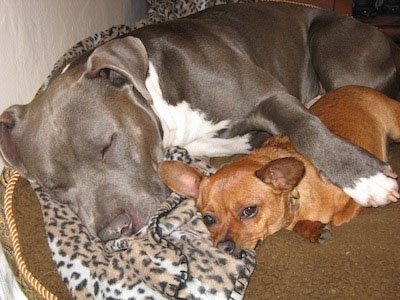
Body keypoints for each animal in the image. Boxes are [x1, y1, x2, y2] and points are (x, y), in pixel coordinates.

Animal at [159, 85, 400, 256]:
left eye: (249, 211)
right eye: (208, 219)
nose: (223, 248)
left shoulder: (353, 200)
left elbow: (340, 217)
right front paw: (312, 229)